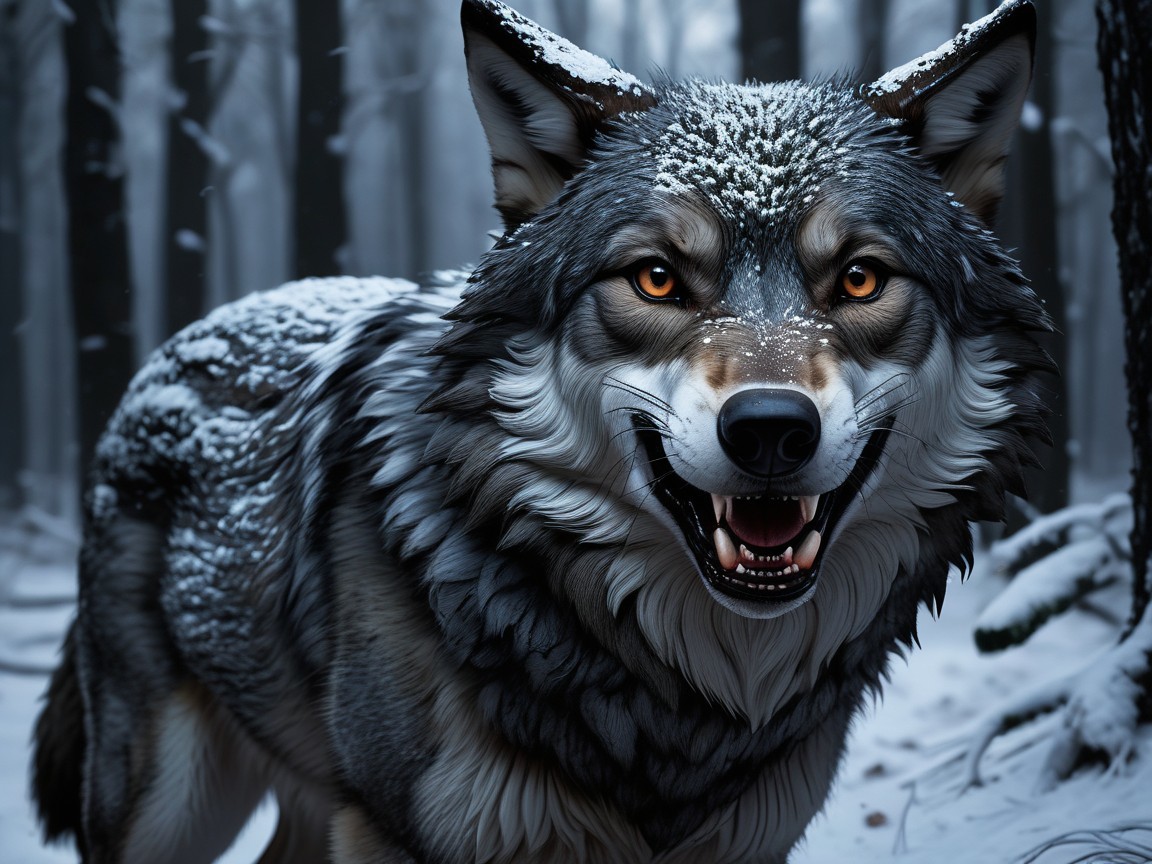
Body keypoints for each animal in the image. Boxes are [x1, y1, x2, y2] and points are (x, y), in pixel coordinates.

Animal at [33, 1, 1050, 861]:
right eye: (656, 278)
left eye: (861, 279)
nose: (769, 430)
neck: (680, 702)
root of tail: (179, 343)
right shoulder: (401, 834)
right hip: (172, 807)